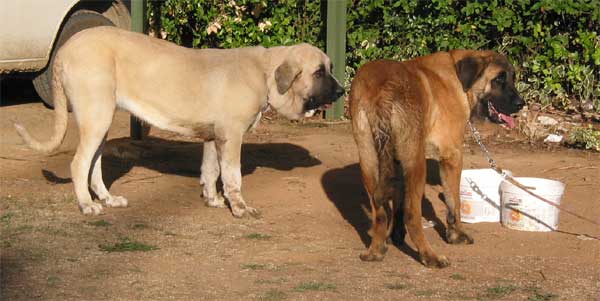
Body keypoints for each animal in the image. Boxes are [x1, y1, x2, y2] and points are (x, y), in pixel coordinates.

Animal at [14, 27, 342, 217]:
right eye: (319, 72)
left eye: (329, 68)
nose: (340, 91)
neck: (263, 72)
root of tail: (65, 49)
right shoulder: (232, 136)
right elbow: (232, 176)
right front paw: (239, 207)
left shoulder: (213, 137)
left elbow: (210, 171)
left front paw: (212, 200)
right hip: (96, 117)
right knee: (78, 164)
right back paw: (86, 204)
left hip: (100, 121)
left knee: (93, 165)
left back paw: (107, 199)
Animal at [350, 49, 524, 268]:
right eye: (499, 79)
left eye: (512, 78)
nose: (521, 104)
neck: (459, 77)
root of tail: (382, 90)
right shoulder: (452, 157)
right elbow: (454, 202)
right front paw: (456, 234)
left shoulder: (397, 162)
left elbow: (398, 204)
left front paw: (396, 236)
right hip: (416, 163)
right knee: (412, 215)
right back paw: (430, 256)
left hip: (369, 160)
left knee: (380, 214)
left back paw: (375, 250)